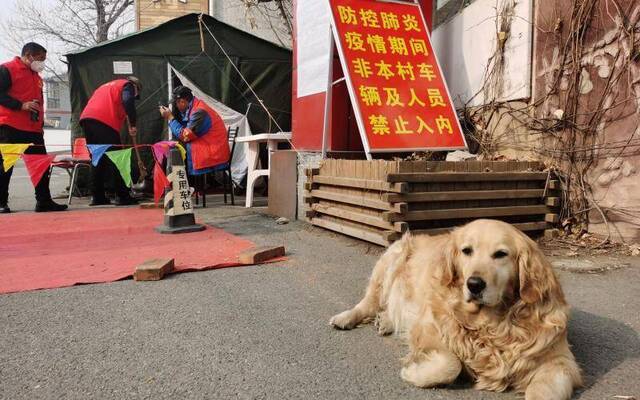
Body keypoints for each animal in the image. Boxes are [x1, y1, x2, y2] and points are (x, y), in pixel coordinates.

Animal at [332, 219, 584, 400]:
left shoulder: (561, 361)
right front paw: (414, 373)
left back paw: (384, 322)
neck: (492, 323)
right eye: (467, 250)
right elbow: (451, 363)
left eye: (501, 254)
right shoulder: (427, 327)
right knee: (369, 301)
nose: (474, 284)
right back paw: (346, 318)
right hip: (392, 257)